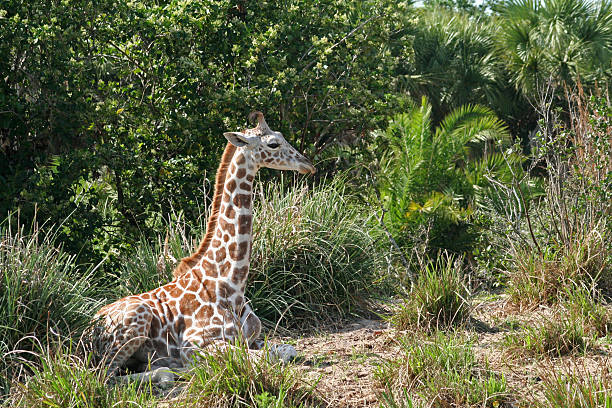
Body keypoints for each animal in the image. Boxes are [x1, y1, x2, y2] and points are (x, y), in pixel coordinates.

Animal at [95, 110, 318, 380]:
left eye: (282, 136)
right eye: (273, 144)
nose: (308, 164)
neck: (232, 284)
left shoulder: (253, 339)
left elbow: (286, 351)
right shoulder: (197, 344)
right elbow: (264, 359)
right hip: (135, 320)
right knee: (102, 376)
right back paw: (167, 373)